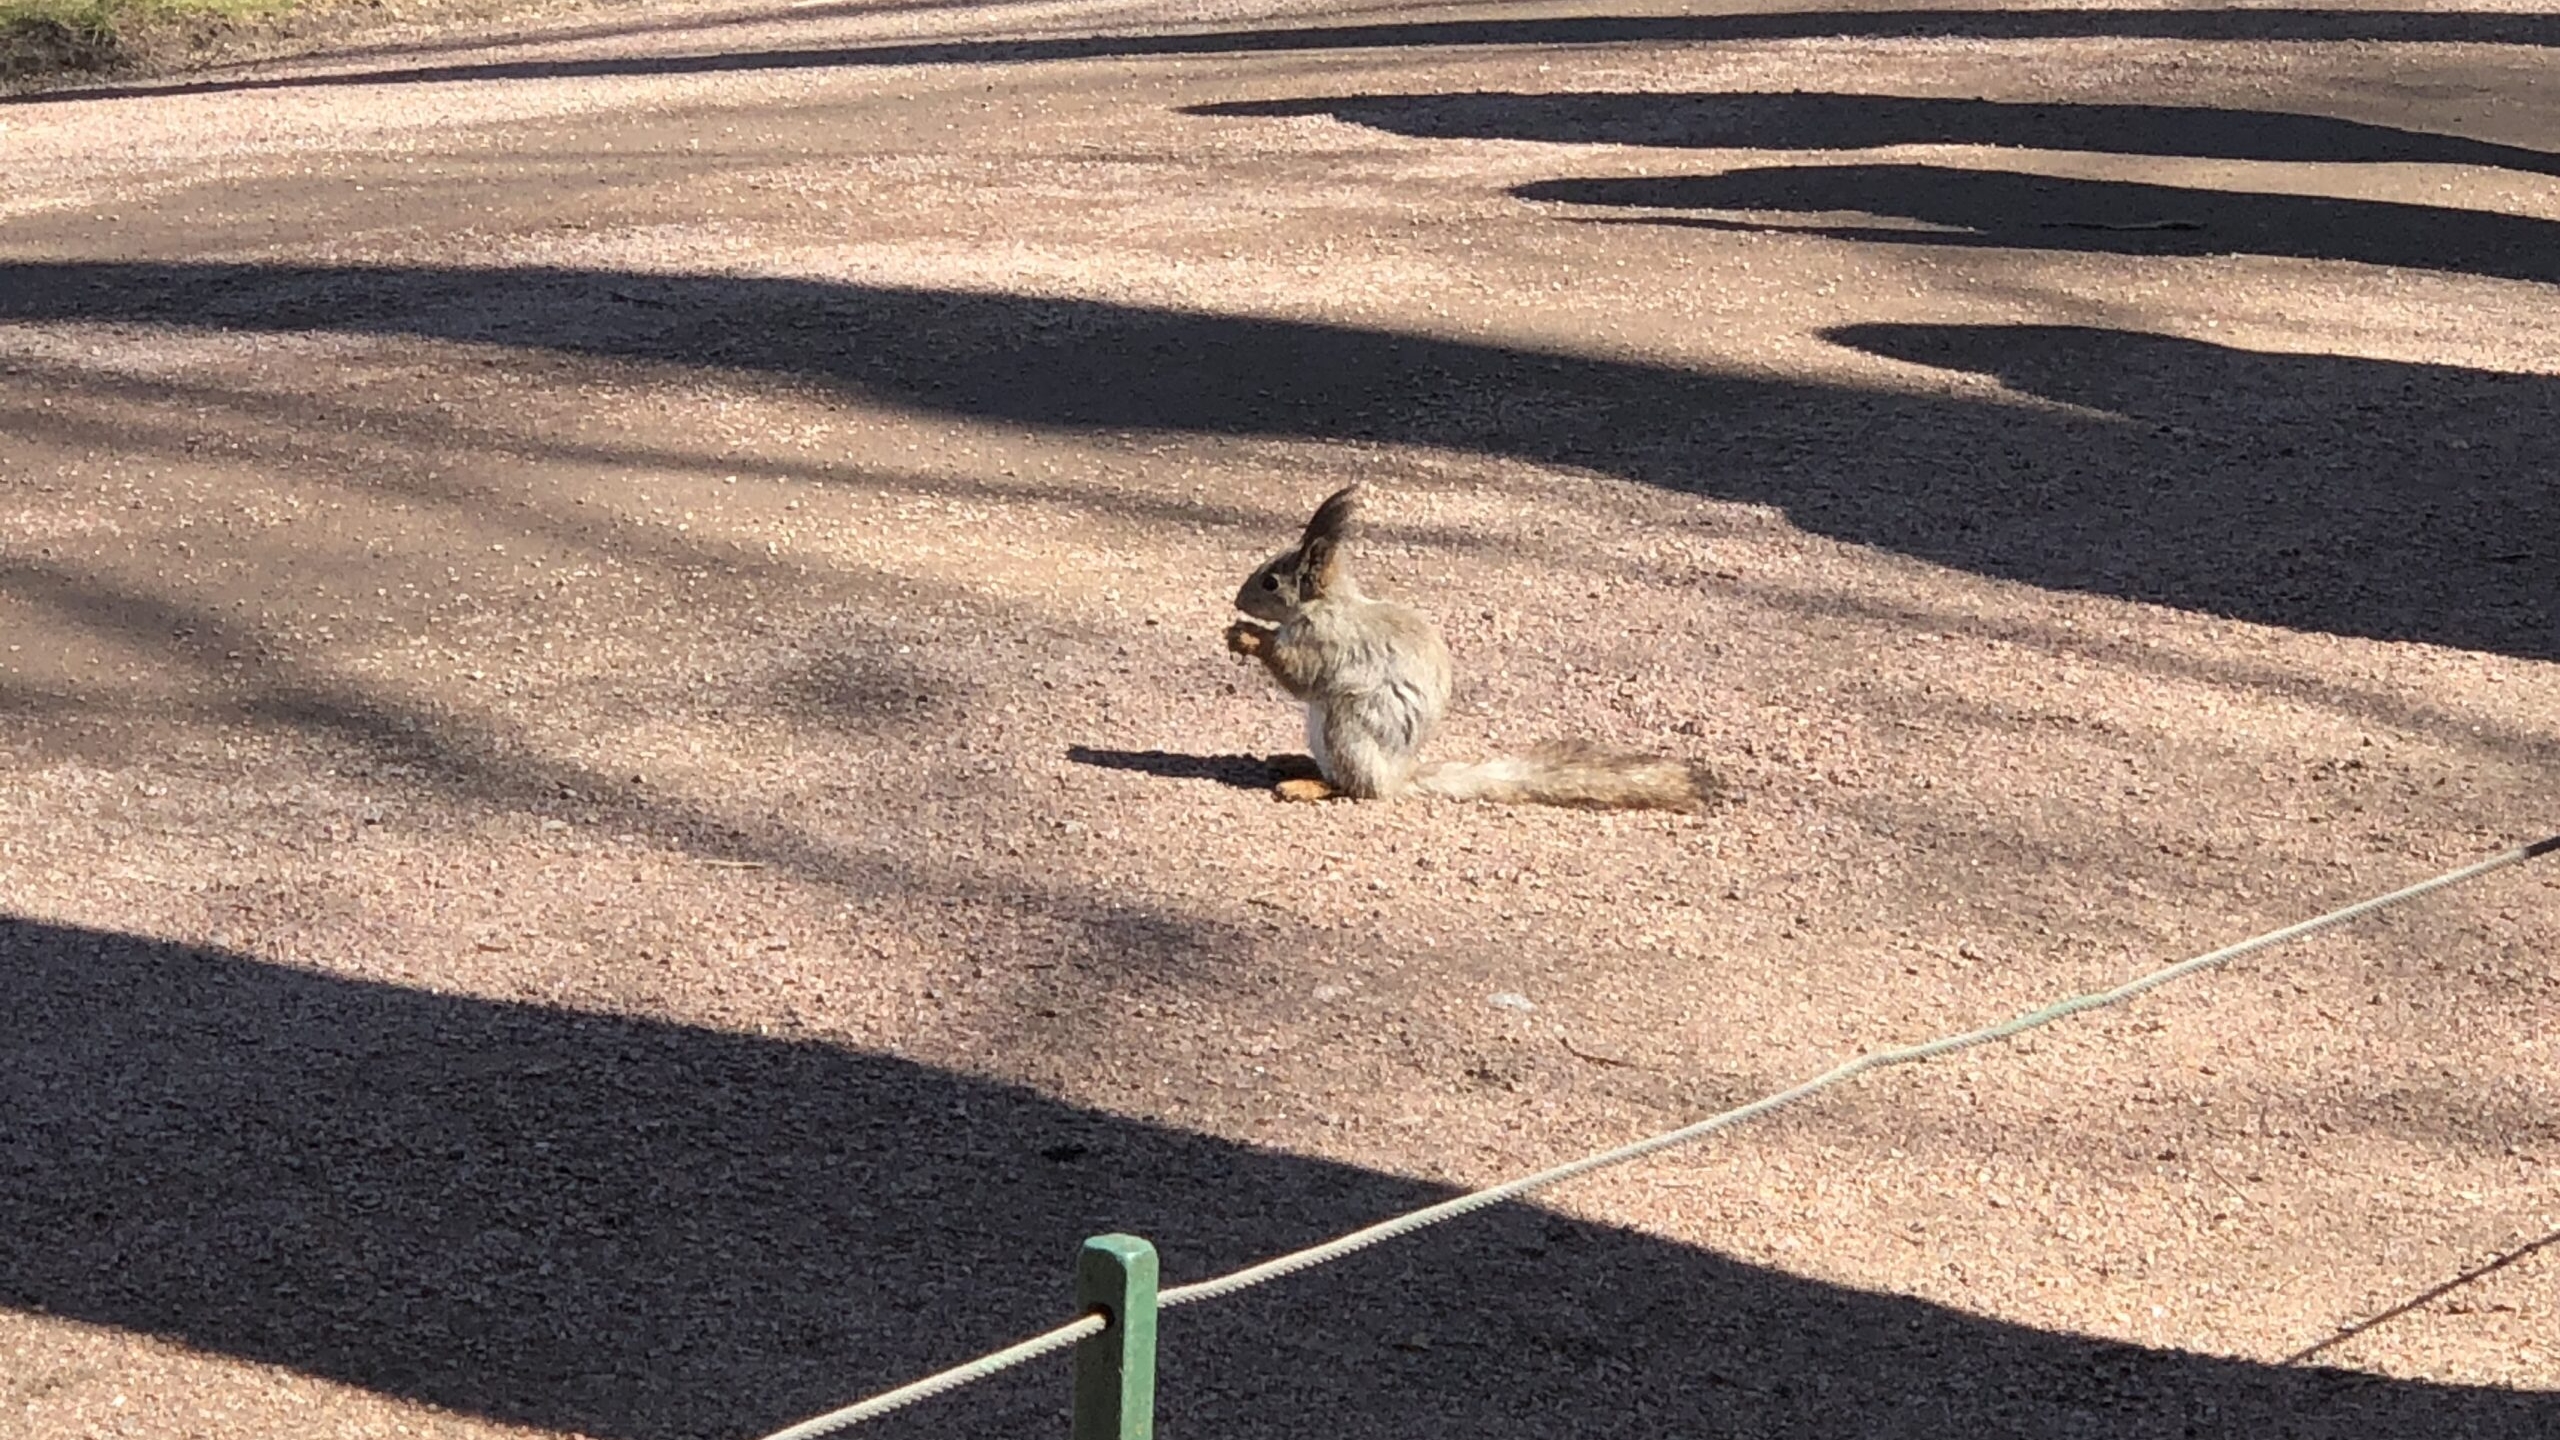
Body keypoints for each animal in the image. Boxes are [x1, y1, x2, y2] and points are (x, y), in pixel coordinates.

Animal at [1223, 481, 1720, 814]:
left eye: (1270, 582)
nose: (1237, 601)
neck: (1326, 604)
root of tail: (1399, 777)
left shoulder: (1327, 640)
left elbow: (1300, 673)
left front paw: (1248, 636)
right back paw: (1292, 762)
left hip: (1347, 731)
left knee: (1356, 789)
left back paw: (1307, 786)